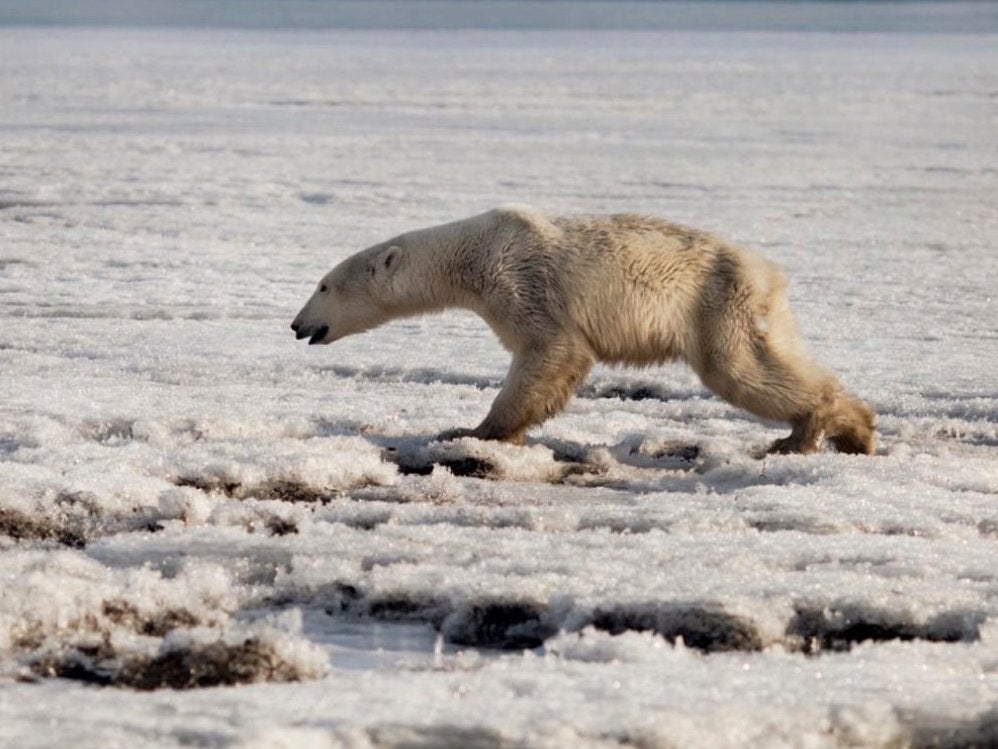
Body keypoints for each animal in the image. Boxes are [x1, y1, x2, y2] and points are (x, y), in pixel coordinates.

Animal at [290, 205, 876, 452]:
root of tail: (768, 273)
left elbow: (551, 351)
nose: (297, 326)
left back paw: (808, 434)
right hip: (753, 309)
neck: (471, 254)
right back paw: (853, 429)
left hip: (716, 302)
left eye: (323, 285)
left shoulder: (520, 280)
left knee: (738, 370)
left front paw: (471, 431)